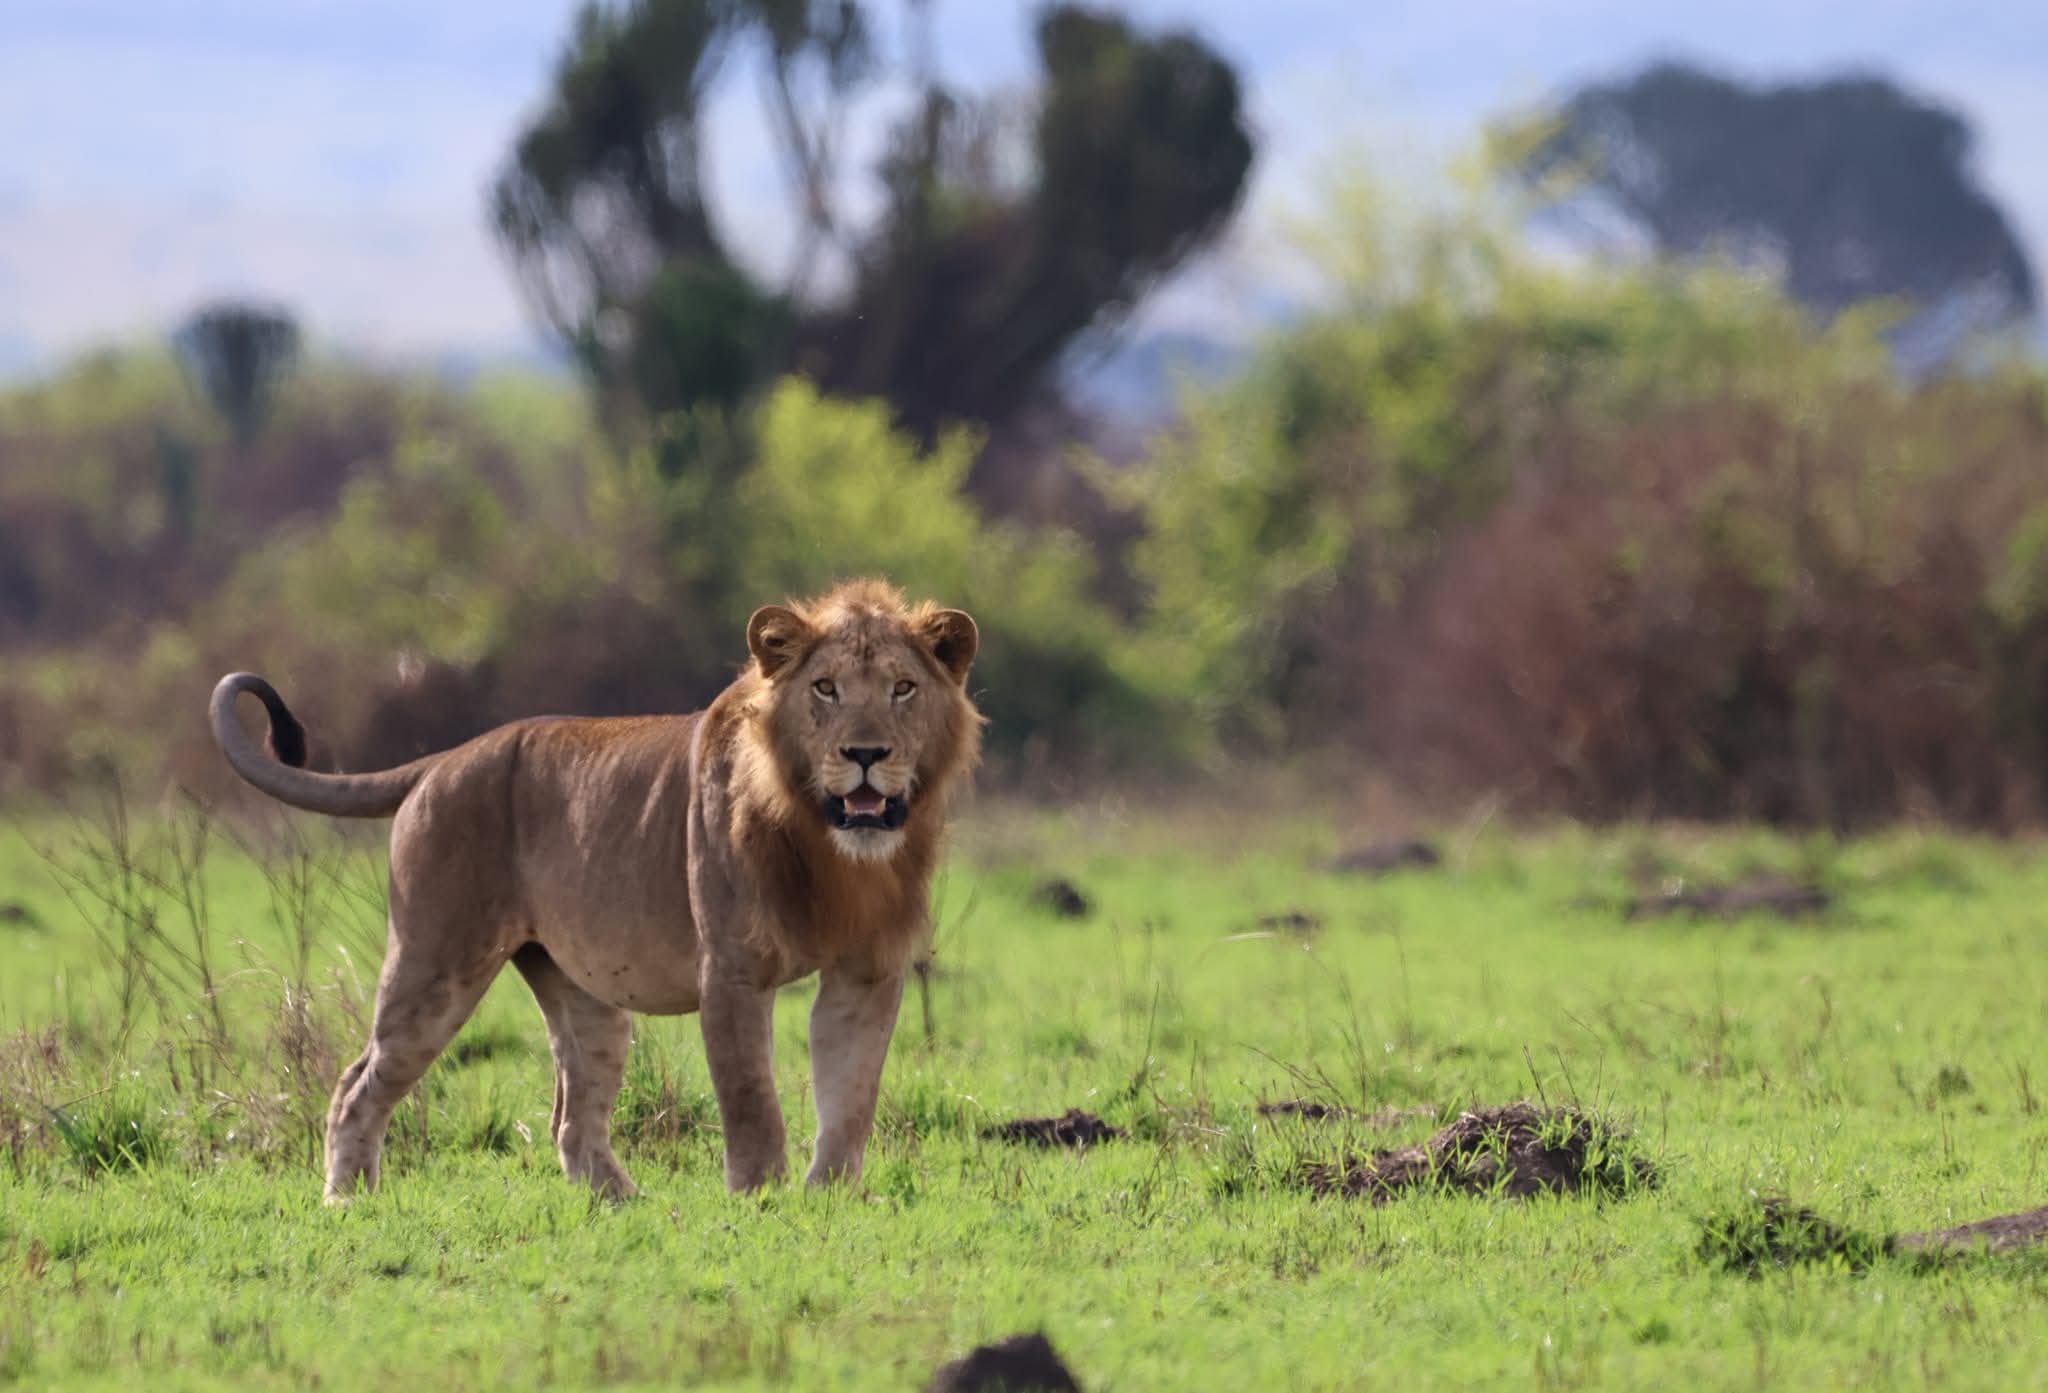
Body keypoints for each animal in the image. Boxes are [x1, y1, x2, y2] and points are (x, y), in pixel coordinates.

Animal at [209, 579, 982, 1201]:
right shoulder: (731, 970)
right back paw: (349, 1199)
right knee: (356, 1084)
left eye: (902, 689)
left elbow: (851, 1094)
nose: (866, 754)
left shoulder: (866, 971)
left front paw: (831, 1199)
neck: (834, 850)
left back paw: (629, 1205)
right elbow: (751, 1100)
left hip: (582, 992)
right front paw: (759, 1201)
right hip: (435, 964)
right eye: (825, 688)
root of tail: (441, 761)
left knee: (571, 1118)